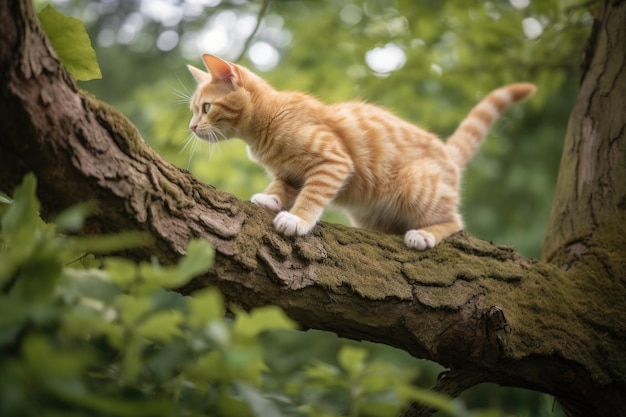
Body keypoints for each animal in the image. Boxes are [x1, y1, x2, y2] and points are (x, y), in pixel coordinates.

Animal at [186, 53, 532, 249]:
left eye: (206, 108)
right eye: (194, 110)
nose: (191, 127)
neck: (268, 119)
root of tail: (447, 154)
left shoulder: (334, 161)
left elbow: (312, 195)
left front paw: (297, 220)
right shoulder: (289, 173)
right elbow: (282, 186)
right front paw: (270, 199)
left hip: (417, 187)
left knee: (456, 222)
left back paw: (425, 235)